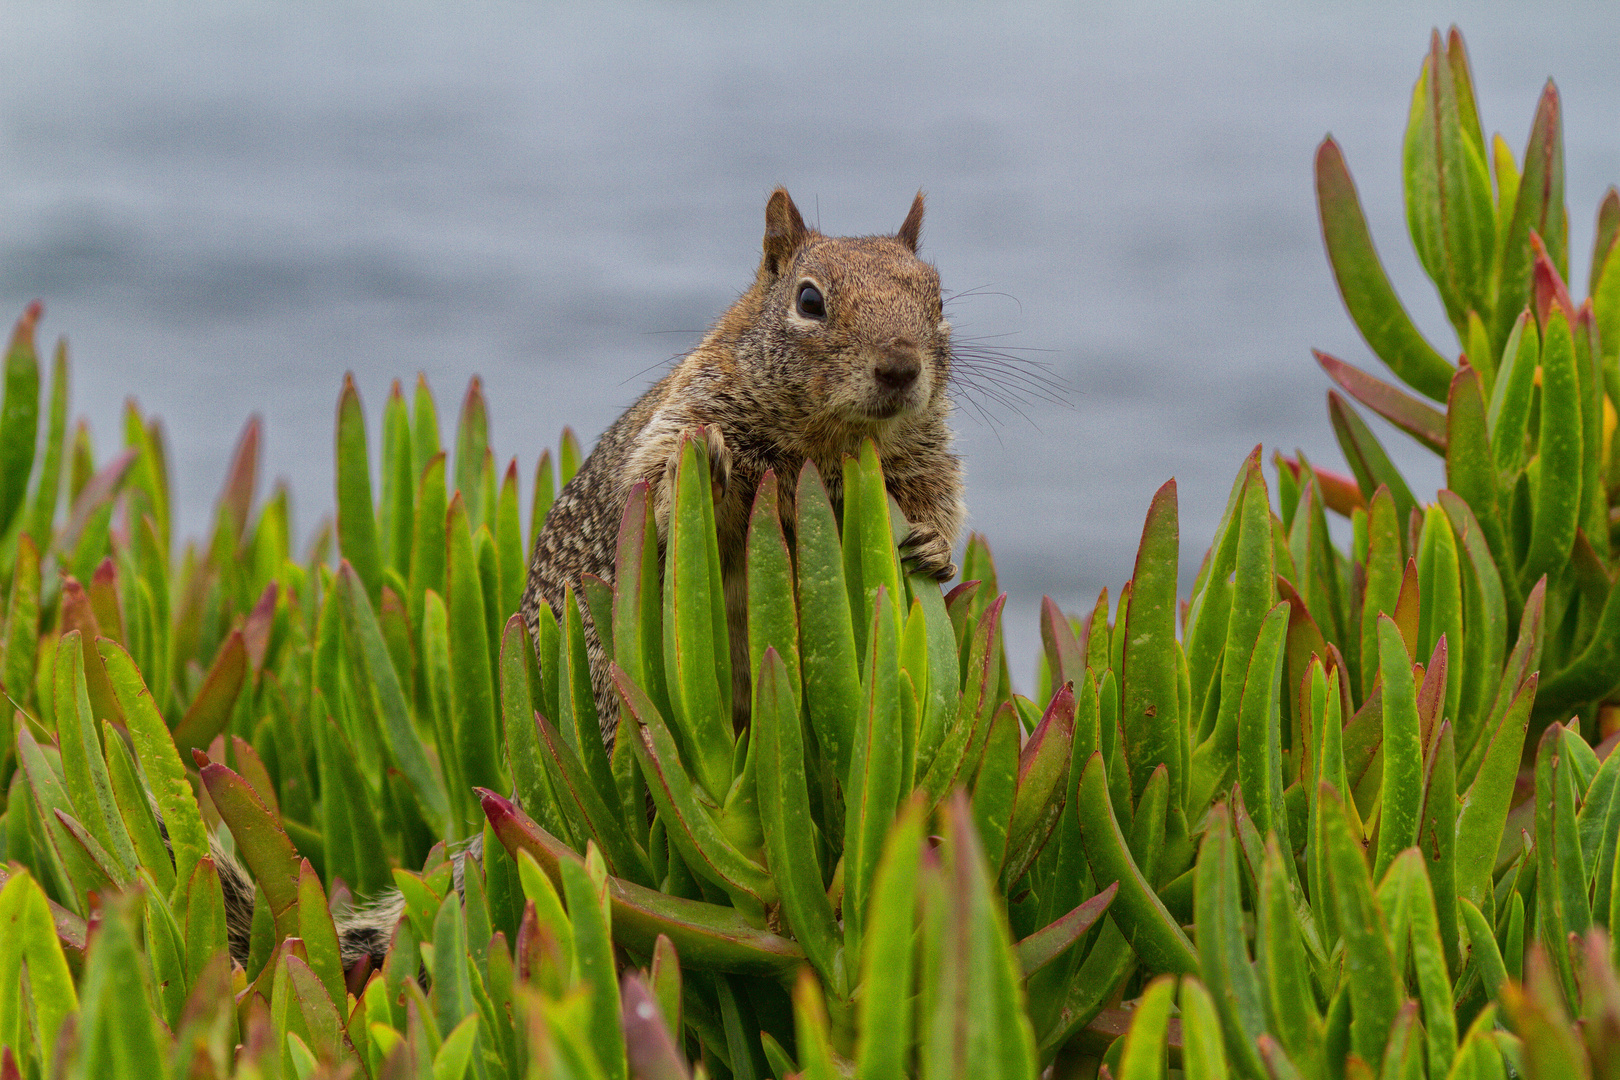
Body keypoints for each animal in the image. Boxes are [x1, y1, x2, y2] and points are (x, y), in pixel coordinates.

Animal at [524, 187, 965, 744]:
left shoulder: (925, 463)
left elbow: (939, 500)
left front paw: (934, 545)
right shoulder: (681, 417)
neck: (828, 442)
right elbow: (655, 501)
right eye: (809, 301)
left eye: (940, 303)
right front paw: (700, 470)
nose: (901, 367)